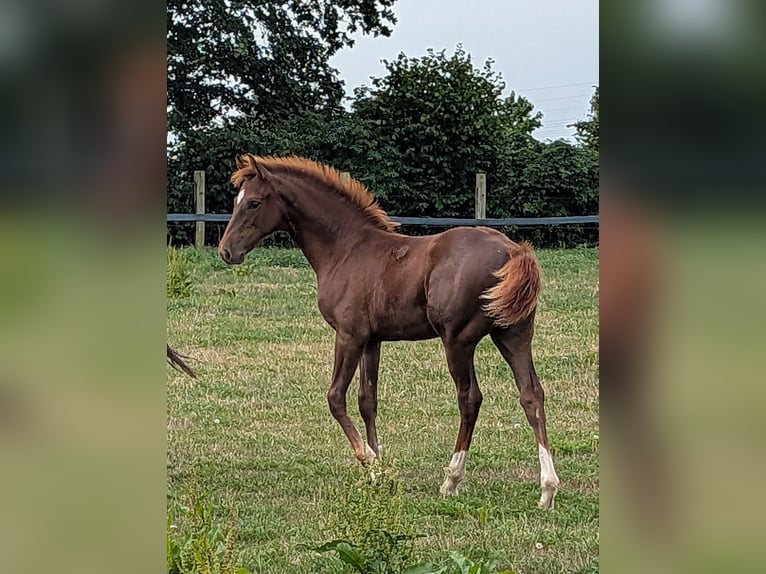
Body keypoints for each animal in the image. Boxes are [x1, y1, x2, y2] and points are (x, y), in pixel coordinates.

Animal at [218, 154, 560, 509]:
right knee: (532, 395)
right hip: (513, 336)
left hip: (458, 341)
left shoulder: (349, 335)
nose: (227, 251)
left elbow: (335, 397)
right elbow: (367, 400)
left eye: (254, 202)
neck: (346, 248)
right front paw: (379, 473)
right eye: (237, 201)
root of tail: (513, 251)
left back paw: (451, 480)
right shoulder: (372, 341)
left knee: (470, 399)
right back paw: (547, 490)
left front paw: (369, 463)